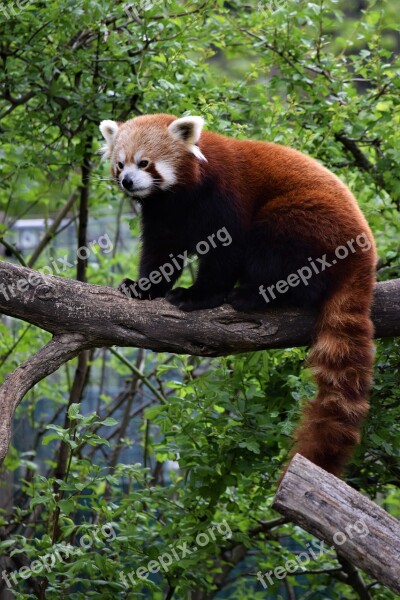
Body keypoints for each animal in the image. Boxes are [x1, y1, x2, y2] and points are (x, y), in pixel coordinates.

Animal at [99, 115, 376, 476]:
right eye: (120, 164)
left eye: (145, 162)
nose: (128, 181)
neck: (181, 193)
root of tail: (365, 253)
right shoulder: (164, 214)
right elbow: (161, 251)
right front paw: (144, 288)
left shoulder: (224, 196)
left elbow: (225, 250)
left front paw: (196, 296)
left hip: (306, 221)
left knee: (277, 248)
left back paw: (256, 295)